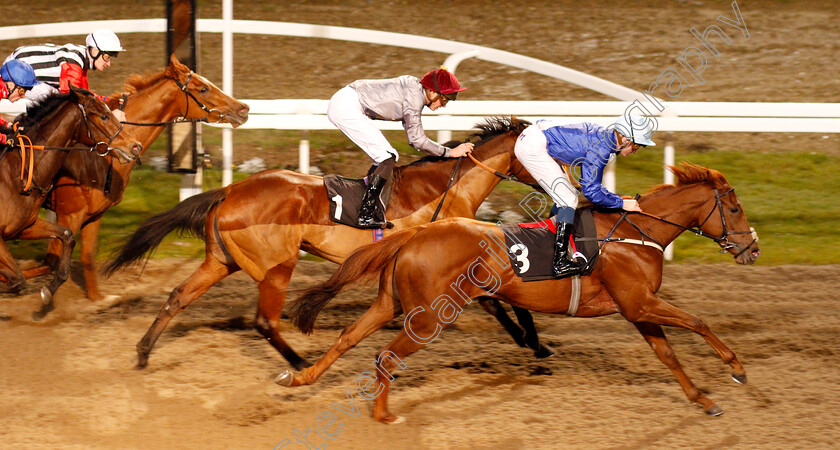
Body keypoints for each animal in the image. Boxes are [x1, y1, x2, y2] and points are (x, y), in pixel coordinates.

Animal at [0, 87, 141, 320]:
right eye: (103, 116)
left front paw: (48, 292)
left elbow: (67, 237)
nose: (135, 146)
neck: (18, 173)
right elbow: (18, 279)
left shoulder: (24, 227)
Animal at [23, 56, 249, 302]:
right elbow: (52, 260)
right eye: (203, 88)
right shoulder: (69, 214)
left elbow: (87, 257)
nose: (243, 108)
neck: (101, 155)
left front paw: (97, 299)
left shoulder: (93, 215)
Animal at [105, 118, 540, 370]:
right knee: (264, 321)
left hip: (220, 261)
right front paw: (529, 340)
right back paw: (300, 364)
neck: (447, 186)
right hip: (277, 266)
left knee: (178, 296)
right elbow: (491, 301)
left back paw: (143, 352)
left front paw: (529, 338)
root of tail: (229, 190)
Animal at [280, 163, 760, 424]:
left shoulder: (636, 308)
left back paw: (300, 377)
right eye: (735, 208)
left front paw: (704, 401)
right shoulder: (640, 301)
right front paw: (737, 368)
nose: (752, 249)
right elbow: (698, 321)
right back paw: (382, 414)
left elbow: (668, 355)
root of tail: (415, 233)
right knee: (386, 356)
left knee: (349, 338)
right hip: (431, 318)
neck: (637, 232)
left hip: (392, 303)